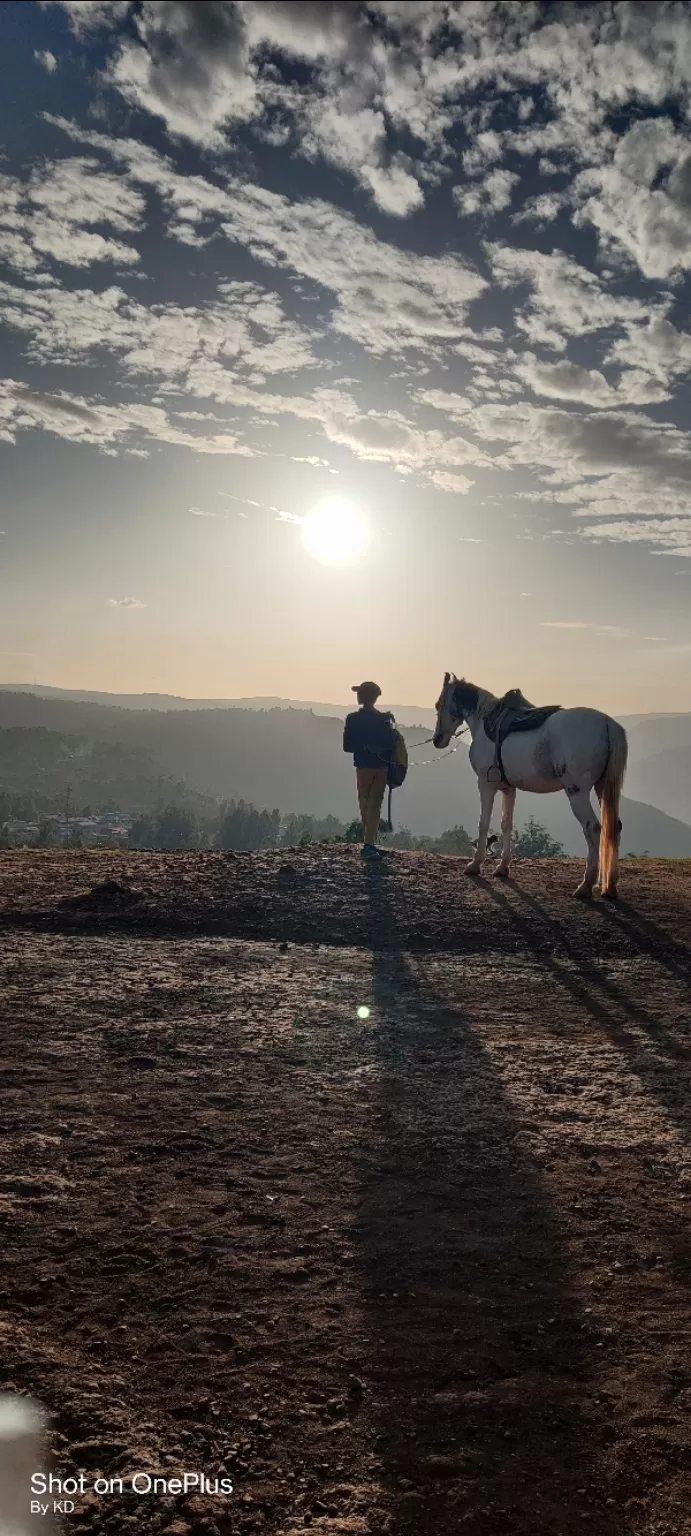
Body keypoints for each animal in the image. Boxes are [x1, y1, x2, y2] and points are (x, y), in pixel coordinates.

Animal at [436, 675, 629, 897]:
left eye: (439, 704)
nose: (437, 740)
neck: (485, 719)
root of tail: (607, 724)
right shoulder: (508, 789)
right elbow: (506, 824)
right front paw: (502, 868)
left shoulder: (485, 785)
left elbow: (483, 823)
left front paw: (475, 865)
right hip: (602, 788)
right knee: (615, 827)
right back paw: (610, 885)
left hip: (577, 792)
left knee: (593, 828)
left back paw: (586, 885)